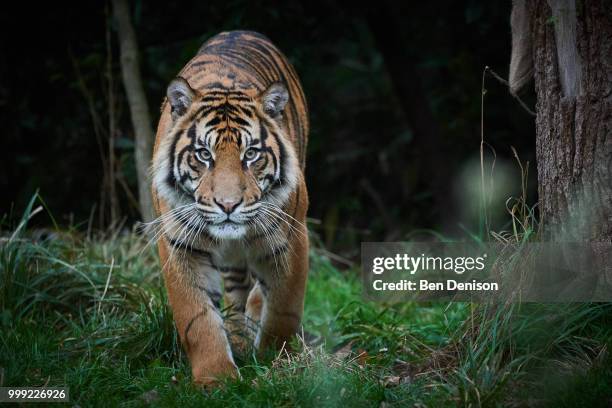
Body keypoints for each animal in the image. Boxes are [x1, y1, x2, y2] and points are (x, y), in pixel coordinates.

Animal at [151, 30, 308, 388]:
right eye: (203, 154)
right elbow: (197, 318)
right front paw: (217, 380)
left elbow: (283, 309)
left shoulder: (291, 237)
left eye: (251, 154)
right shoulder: (180, 245)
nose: (228, 204)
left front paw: (275, 363)